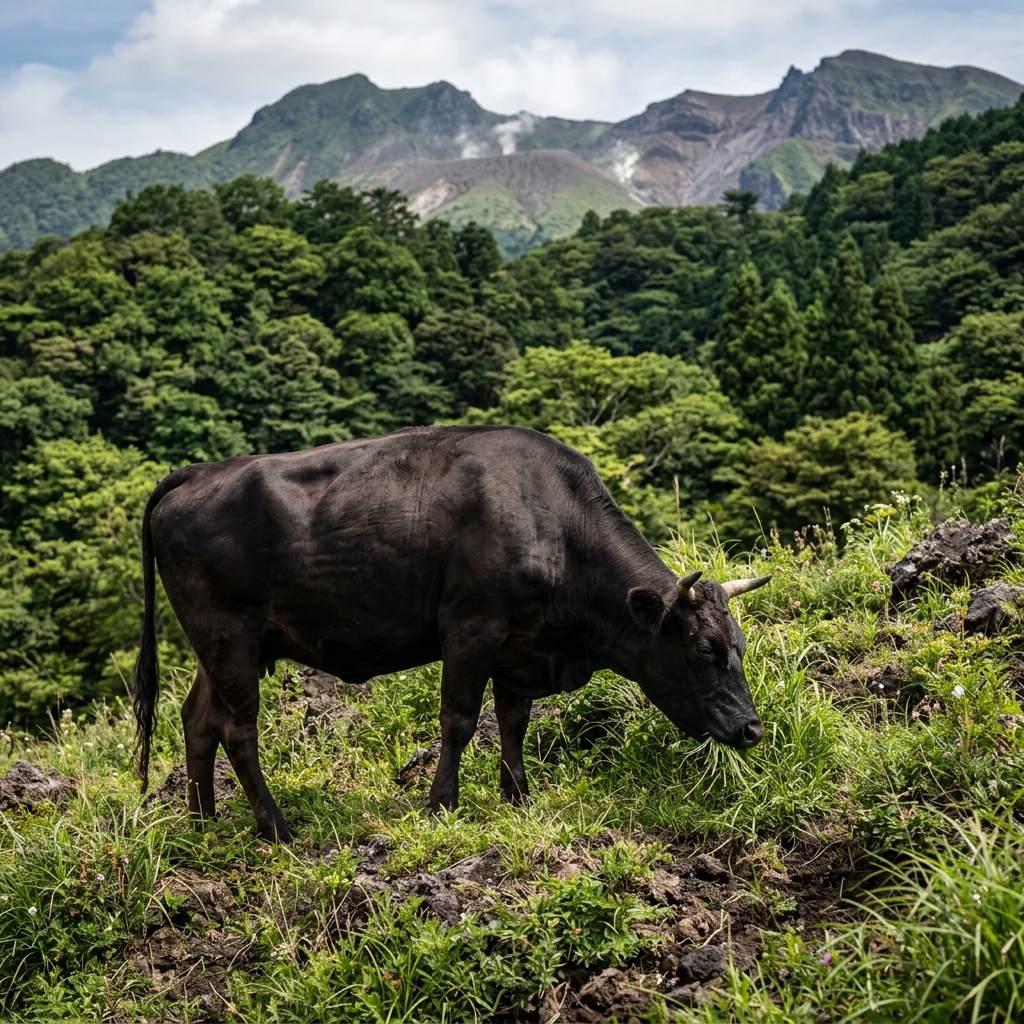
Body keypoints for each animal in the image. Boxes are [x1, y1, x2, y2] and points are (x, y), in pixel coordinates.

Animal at [133, 425, 769, 841]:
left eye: (738, 647)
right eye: (705, 649)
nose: (752, 728)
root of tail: (198, 472)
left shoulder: (522, 645)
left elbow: (513, 724)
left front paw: (519, 798)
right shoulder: (472, 628)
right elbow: (460, 721)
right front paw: (442, 804)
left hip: (219, 644)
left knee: (197, 718)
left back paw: (202, 820)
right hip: (229, 636)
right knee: (238, 729)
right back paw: (276, 828)